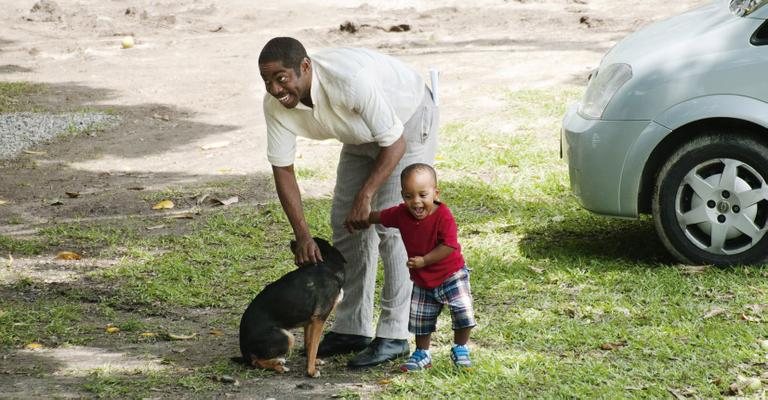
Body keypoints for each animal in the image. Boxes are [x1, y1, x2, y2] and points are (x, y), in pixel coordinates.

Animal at [240, 238, 344, 378]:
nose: (292, 240)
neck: (327, 265)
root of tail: (243, 349)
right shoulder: (319, 318)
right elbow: (314, 346)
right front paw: (311, 371)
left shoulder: (310, 320)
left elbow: (309, 344)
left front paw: (313, 361)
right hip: (288, 337)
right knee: (255, 361)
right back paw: (278, 366)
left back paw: (277, 361)